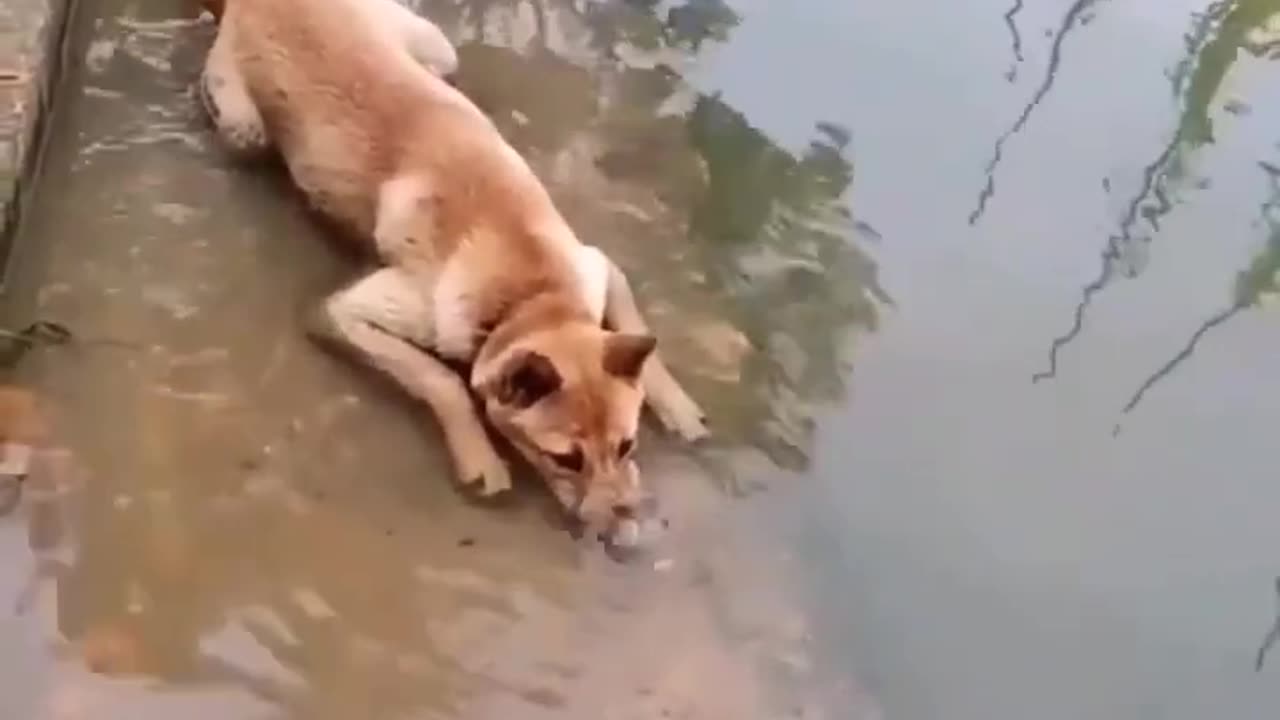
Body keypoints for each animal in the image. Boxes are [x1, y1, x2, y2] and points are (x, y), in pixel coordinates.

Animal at [197, 0, 711, 532]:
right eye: (565, 460)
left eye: (627, 445)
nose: (625, 523)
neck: (531, 295)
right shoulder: (341, 312)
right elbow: (441, 379)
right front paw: (479, 456)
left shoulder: (593, 263)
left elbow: (633, 321)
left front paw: (678, 405)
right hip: (245, 128)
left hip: (438, 52)